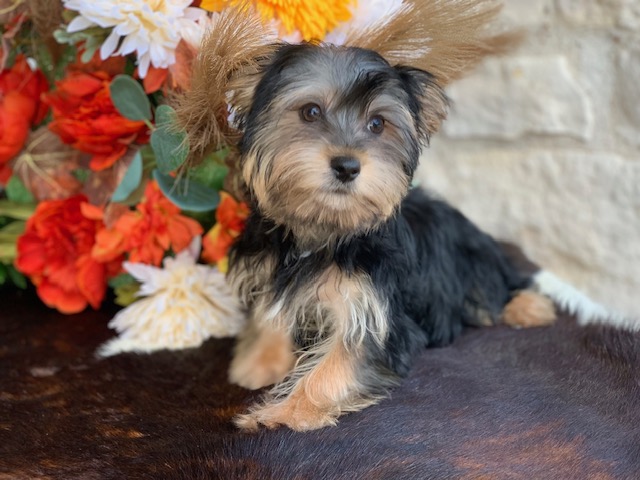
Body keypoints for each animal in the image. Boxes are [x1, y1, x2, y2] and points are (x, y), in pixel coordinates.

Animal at [226, 42, 556, 432]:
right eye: (310, 112)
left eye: (377, 124)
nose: (347, 166)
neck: (324, 231)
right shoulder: (269, 272)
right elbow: (270, 314)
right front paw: (258, 363)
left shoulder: (376, 314)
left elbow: (337, 364)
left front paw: (281, 414)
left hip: (475, 261)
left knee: (500, 287)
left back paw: (530, 307)